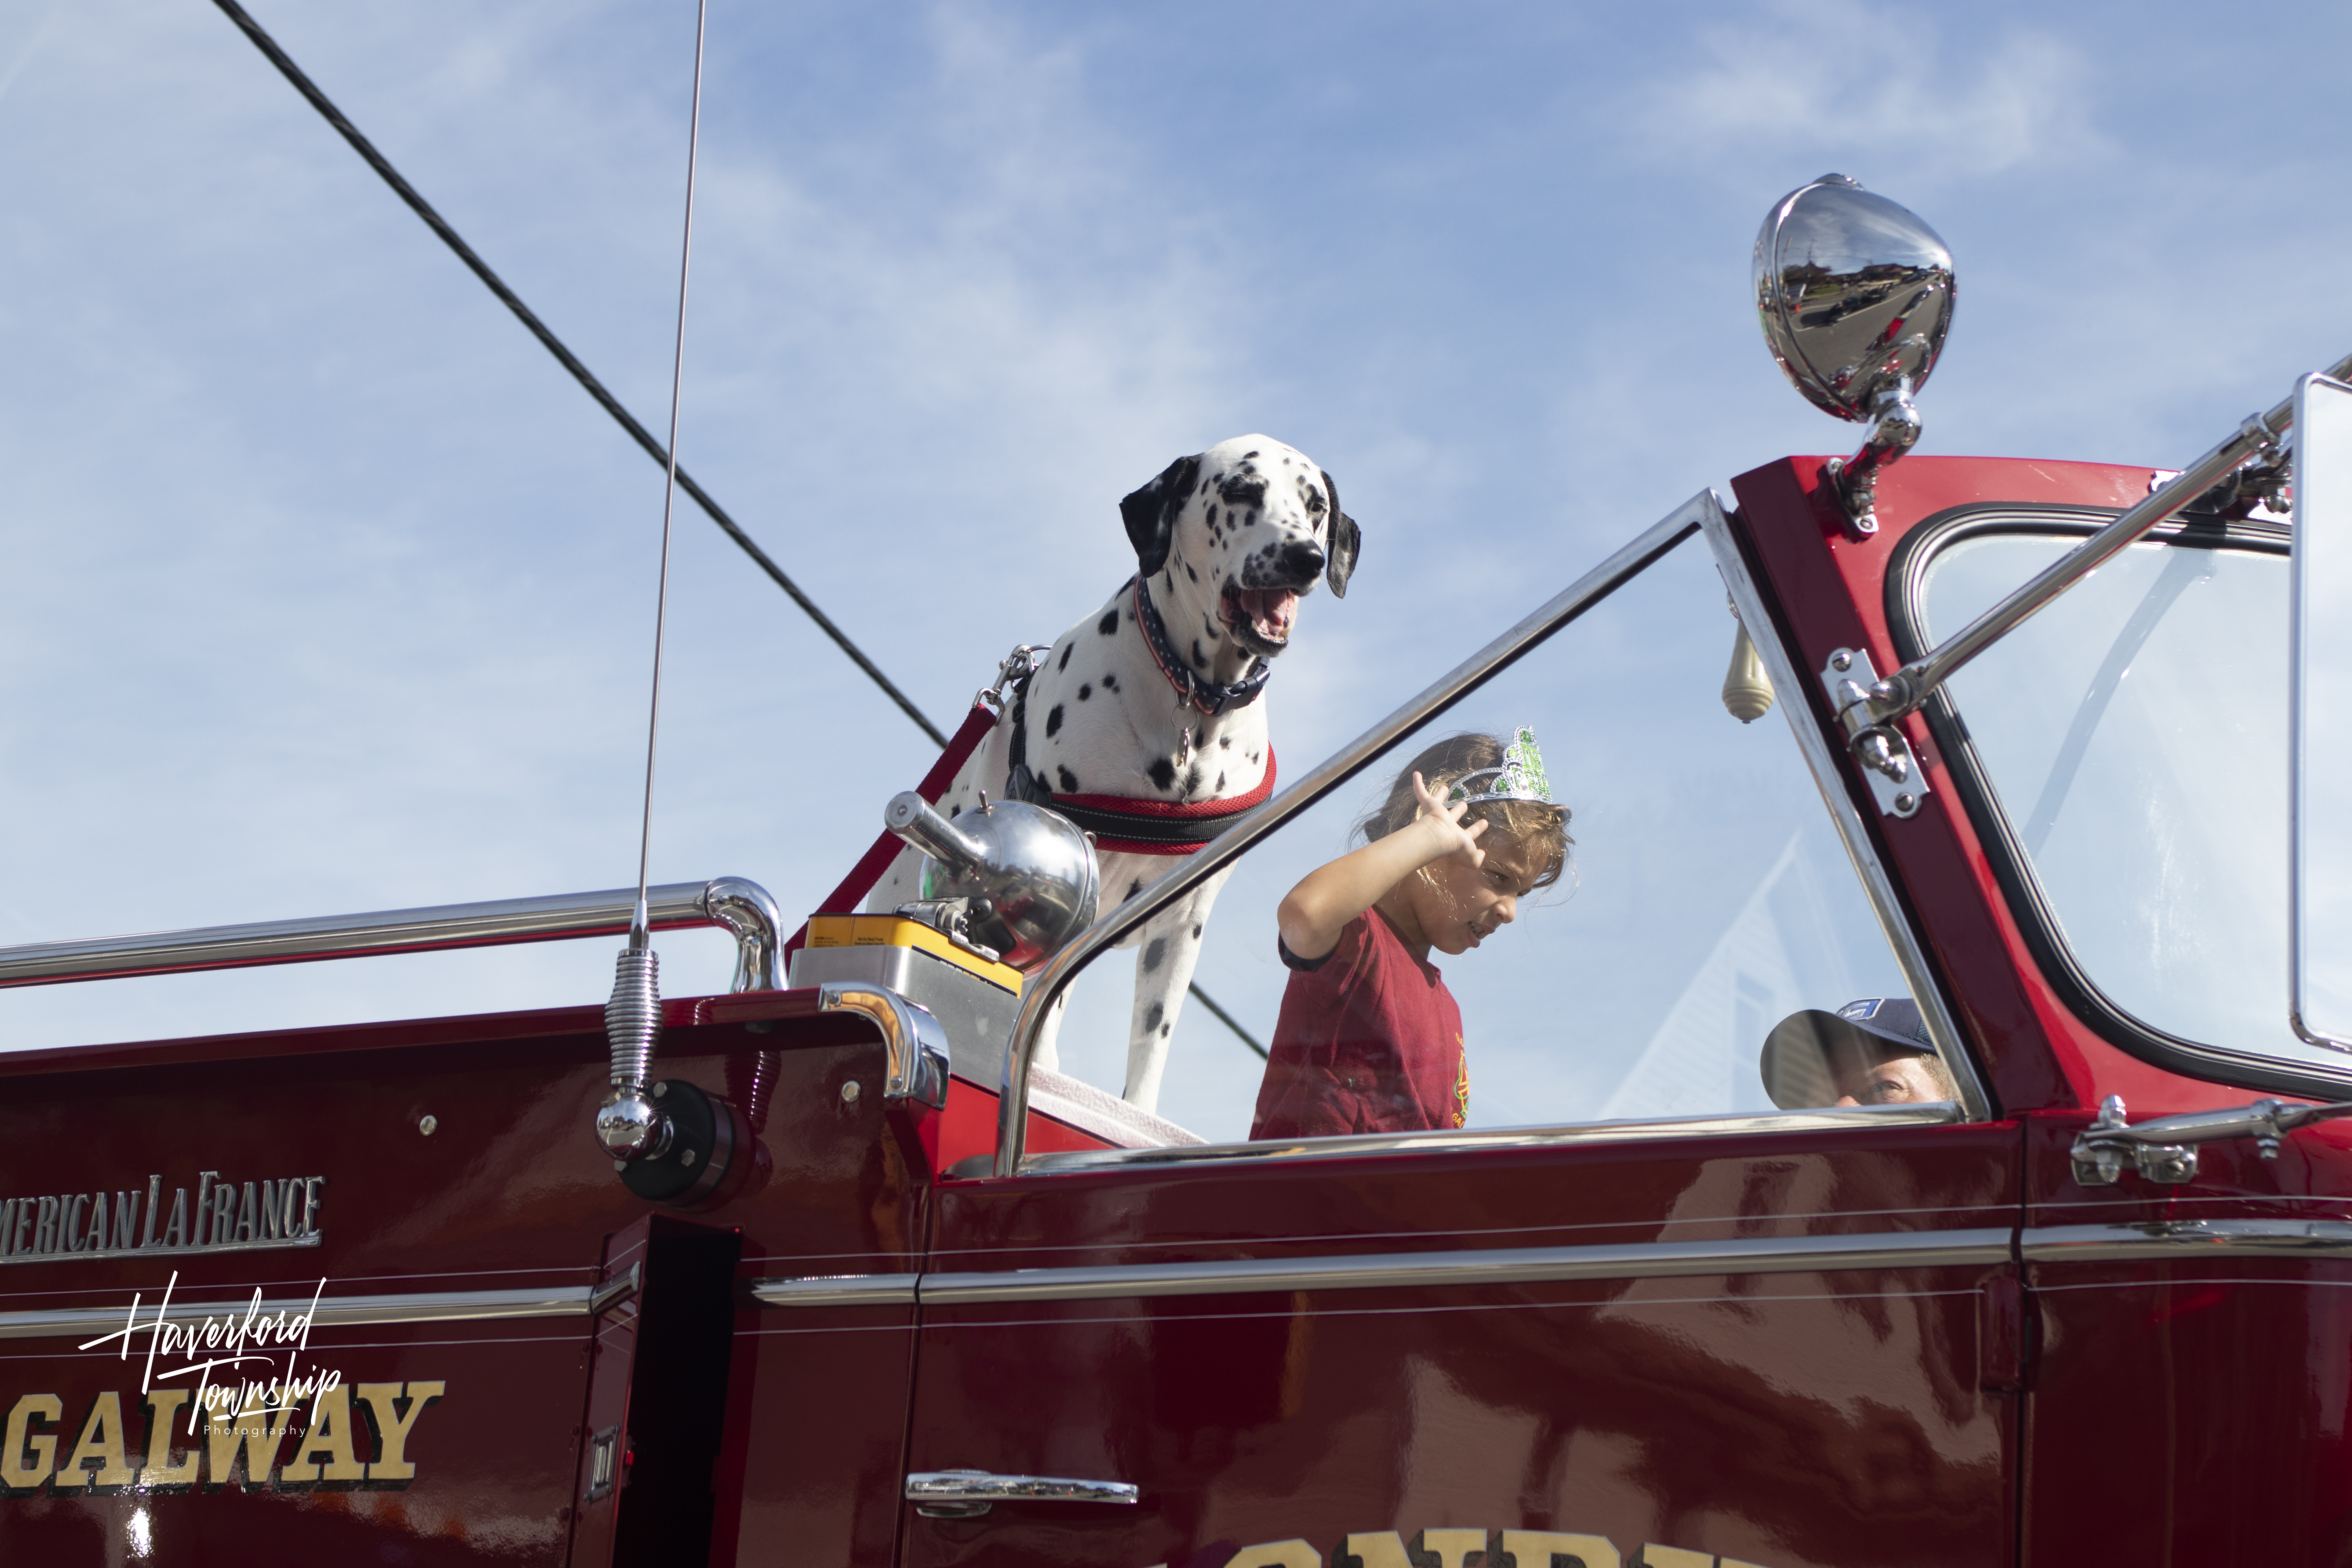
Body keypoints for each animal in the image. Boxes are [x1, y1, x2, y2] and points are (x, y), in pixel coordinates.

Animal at [875, 435, 1364, 1109]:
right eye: (1242, 491)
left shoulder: (1182, 924)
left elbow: (1150, 1044)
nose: (1305, 557)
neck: (1193, 705)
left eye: (1315, 505)